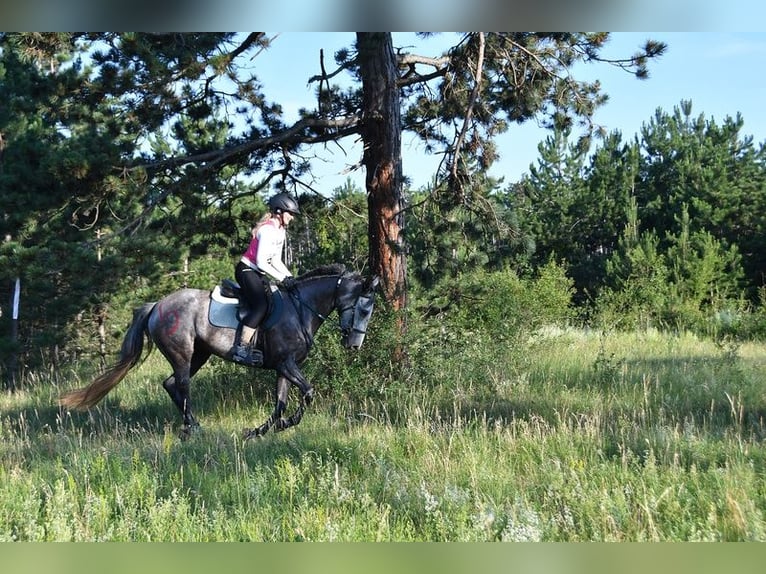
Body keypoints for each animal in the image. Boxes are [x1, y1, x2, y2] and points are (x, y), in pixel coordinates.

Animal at [59, 264, 380, 439]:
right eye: (363, 308)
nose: (354, 345)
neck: (300, 309)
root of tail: (157, 305)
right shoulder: (286, 364)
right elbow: (308, 393)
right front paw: (287, 424)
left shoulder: (283, 367)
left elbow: (280, 404)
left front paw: (259, 431)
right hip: (183, 353)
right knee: (182, 385)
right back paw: (190, 429)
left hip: (200, 354)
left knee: (170, 384)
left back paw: (195, 425)